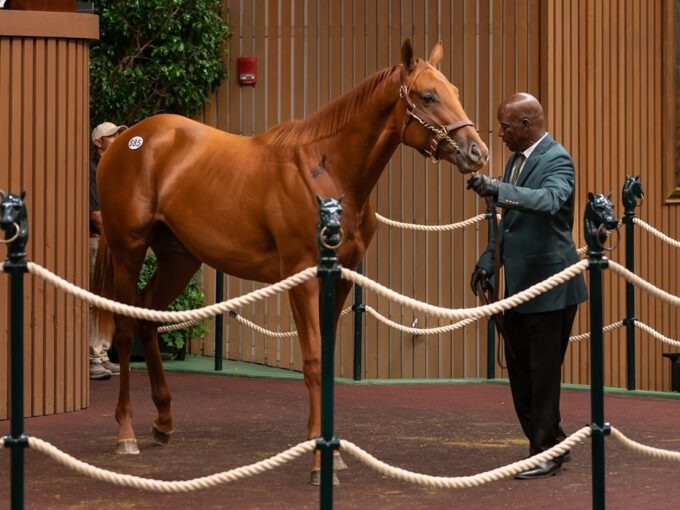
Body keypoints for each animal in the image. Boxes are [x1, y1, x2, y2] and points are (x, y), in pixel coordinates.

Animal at [94, 40, 488, 482]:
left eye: (454, 91)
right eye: (428, 96)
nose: (477, 152)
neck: (328, 171)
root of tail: (128, 140)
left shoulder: (342, 278)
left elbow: (327, 357)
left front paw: (331, 450)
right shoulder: (302, 276)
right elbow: (313, 360)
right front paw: (319, 460)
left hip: (180, 258)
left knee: (147, 315)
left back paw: (163, 421)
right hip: (129, 250)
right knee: (124, 329)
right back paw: (126, 433)